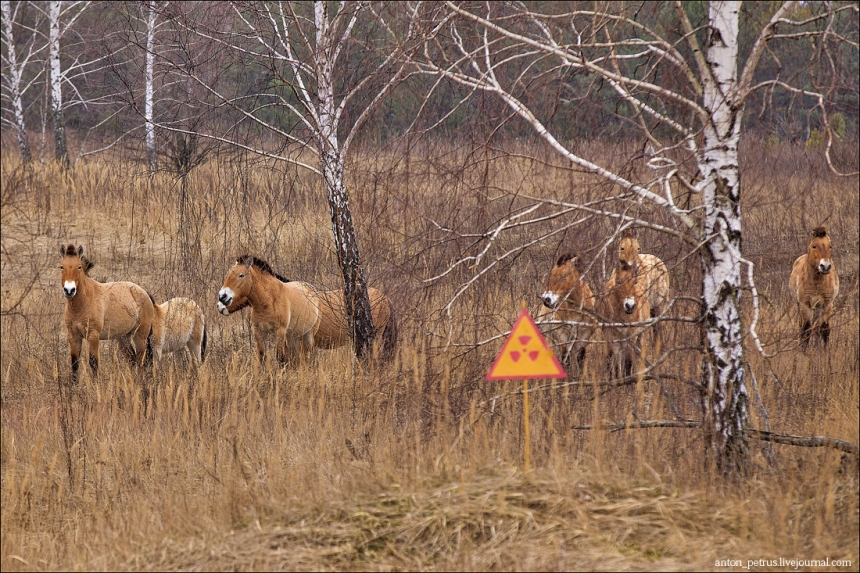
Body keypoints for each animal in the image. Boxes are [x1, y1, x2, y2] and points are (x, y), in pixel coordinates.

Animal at [58, 244, 156, 382]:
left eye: (79, 267)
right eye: (61, 266)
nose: (69, 290)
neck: (81, 305)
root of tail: (144, 292)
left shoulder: (93, 335)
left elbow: (93, 362)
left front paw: (95, 385)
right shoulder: (73, 336)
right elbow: (74, 364)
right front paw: (74, 387)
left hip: (140, 335)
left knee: (141, 360)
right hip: (123, 337)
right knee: (132, 359)